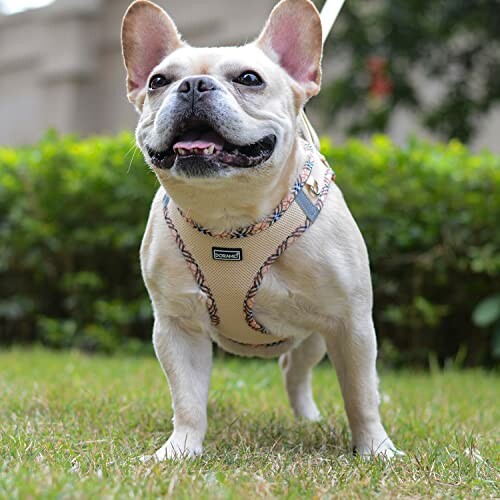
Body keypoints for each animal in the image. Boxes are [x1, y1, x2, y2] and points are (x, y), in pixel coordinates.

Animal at [121, 0, 398, 460]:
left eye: (249, 79)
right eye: (159, 81)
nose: (193, 85)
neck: (229, 218)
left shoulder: (351, 325)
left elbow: (361, 394)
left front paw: (376, 450)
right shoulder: (178, 327)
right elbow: (187, 397)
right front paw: (180, 450)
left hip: (317, 336)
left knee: (297, 369)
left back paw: (309, 420)